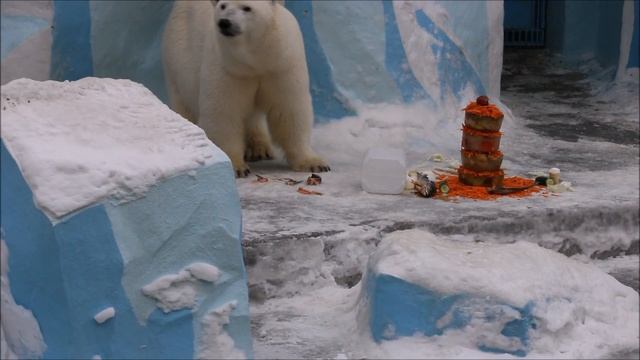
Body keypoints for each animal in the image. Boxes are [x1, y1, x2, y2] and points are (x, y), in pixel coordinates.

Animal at [162, 0, 330, 177]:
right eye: (223, 6)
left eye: (247, 7)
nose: (225, 22)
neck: (255, 60)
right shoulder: (228, 68)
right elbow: (224, 114)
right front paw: (236, 167)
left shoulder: (282, 64)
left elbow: (289, 110)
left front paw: (314, 163)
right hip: (179, 57)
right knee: (184, 102)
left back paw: (260, 149)